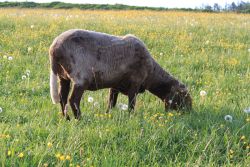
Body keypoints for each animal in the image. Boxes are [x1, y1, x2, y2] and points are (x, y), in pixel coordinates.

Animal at [49, 29, 192, 119]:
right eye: (183, 96)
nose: (190, 112)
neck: (152, 74)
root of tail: (54, 48)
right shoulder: (135, 83)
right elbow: (131, 104)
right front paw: (131, 117)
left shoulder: (115, 85)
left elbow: (111, 103)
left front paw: (108, 115)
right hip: (80, 77)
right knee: (73, 100)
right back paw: (79, 119)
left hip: (63, 76)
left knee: (62, 98)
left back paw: (66, 118)